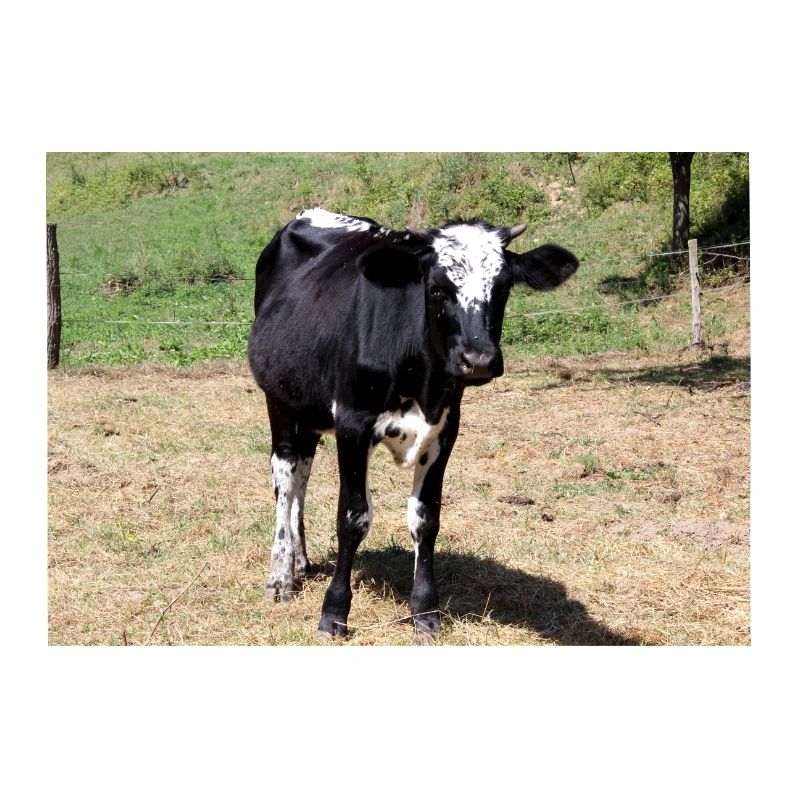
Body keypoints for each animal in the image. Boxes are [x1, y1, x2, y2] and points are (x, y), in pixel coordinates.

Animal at [248, 207, 578, 638]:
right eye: (437, 288)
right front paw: (334, 613)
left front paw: (425, 611)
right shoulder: (353, 424)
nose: (479, 360)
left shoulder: (444, 430)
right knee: (285, 479)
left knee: (302, 471)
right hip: (280, 401)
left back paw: (300, 562)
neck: (421, 381)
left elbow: (426, 519)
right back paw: (281, 575)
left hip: (310, 409)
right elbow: (352, 517)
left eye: (504, 287)